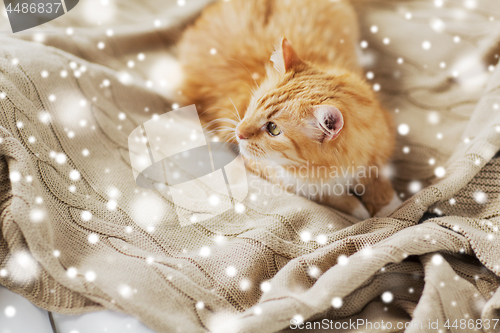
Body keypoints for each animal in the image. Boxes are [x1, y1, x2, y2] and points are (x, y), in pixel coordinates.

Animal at [178, 0, 400, 219]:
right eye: (254, 105)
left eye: (273, 128)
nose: (238, 133)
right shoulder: (274, 173)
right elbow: (330, 195)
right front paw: (360, 210)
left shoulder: (378, 146)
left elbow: (377, 181)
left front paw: (389, 208)